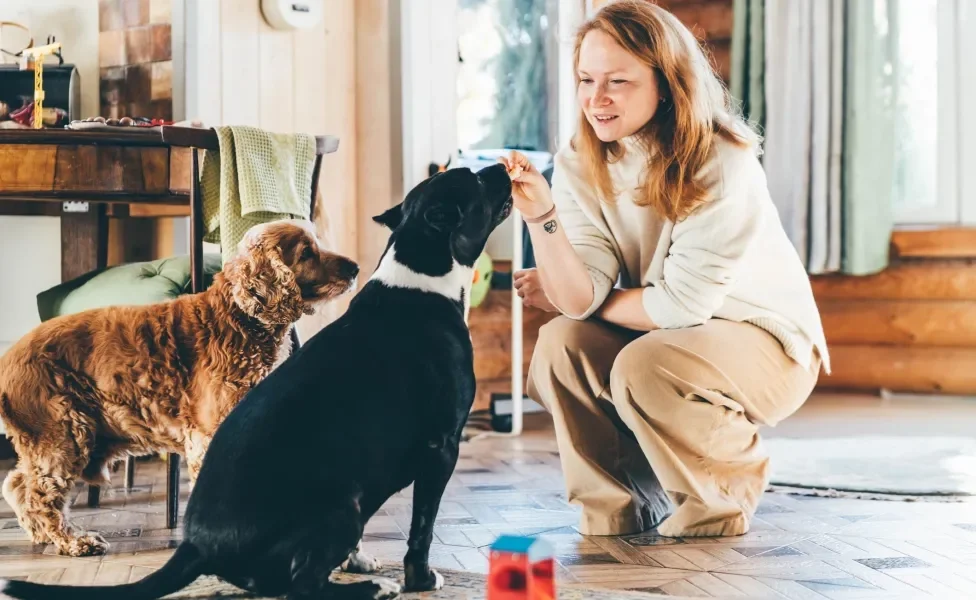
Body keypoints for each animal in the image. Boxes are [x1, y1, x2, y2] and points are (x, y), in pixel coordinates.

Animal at [0, 218, 358, 556]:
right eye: (306, 253)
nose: (355, 268)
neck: (240, 320)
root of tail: (8, 359)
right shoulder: (210, 432)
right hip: (63, 434)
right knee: (39, 495)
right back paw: (75, 541)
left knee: (16, 483)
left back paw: (41, 535)